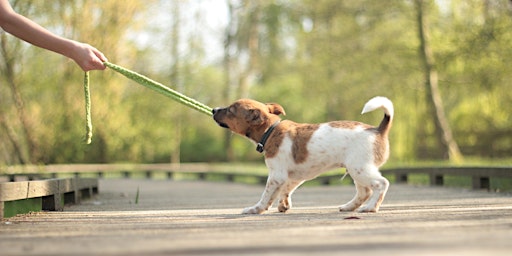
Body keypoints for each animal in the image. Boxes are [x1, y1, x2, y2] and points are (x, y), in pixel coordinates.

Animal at [211, 96, 392, 214]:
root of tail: (378, 130)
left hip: (360, 169)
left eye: (230, 110)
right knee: (364, 192)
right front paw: (283, 205)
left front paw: (255, 209)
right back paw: (349, 207)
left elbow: (266, 196)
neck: (271, 131)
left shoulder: (276, 176)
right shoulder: (294, 176)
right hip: (356, 170)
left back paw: (371, 208)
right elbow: (286, 190)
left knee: (381, 184)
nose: (213, 109)